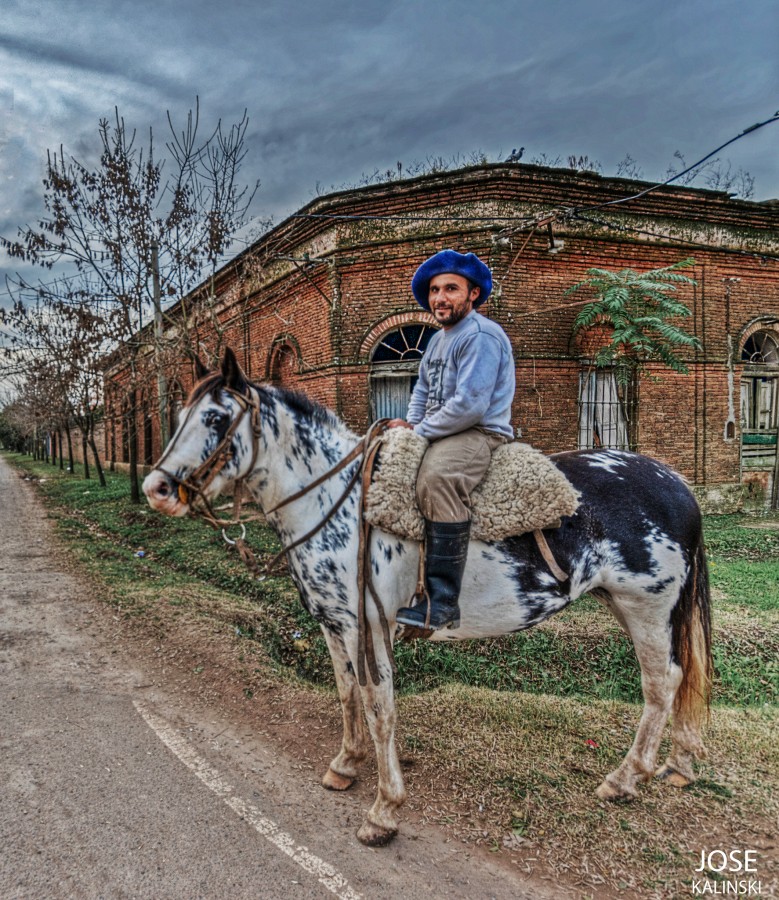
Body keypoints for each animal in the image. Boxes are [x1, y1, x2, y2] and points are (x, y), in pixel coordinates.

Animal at [145, 348, 712, 848]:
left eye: (216, 417)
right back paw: (678, 765)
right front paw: (345, 764)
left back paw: (625, 778)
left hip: (647, 608)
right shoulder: (335, 625)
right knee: (679, 680)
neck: (337, 501)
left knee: (662, 684)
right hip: (627, 605)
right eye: (180, 415)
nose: (156, 489)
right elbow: (346, 695)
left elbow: (380, 708)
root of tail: (677, 483)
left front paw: (384, 810)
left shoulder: (370, 627)